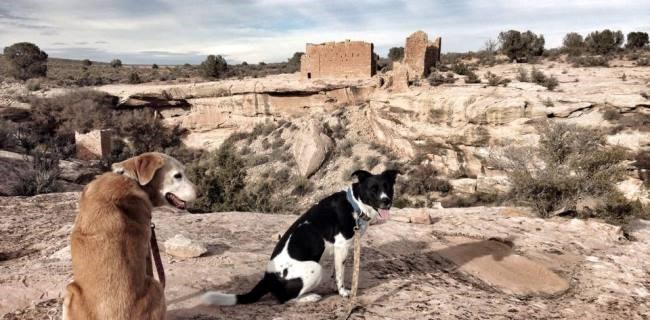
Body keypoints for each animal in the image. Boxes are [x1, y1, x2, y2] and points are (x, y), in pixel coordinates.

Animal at [62, 153, 197, 320]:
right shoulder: (146, 249)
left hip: (70, 290)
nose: (200, 192)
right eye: (178, 175)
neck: (130, 178)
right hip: (156, 286)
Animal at [200, 168, 398, 304]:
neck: (355, 204)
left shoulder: (338, 250)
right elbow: (341, 275)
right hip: (315, 268)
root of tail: (268, 278)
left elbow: (336, 272)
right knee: (285, 300)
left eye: (388, 188)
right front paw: (343, 292)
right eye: (373, 189)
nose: (386, 201)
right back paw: (309, 297)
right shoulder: (342, 247)